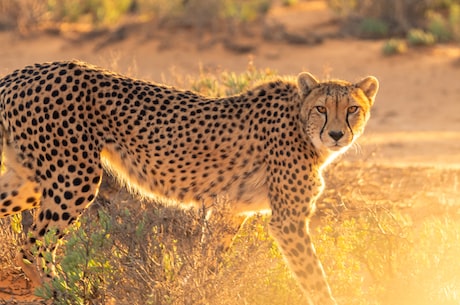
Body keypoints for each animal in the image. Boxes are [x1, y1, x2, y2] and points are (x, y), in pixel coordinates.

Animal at [0, 60, 378, 302]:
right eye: (321, 108)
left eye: (352, 109)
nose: (336, 134)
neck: (301, 123)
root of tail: (22, 72)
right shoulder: (288, 221)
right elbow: (314, 277)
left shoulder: (230, 212)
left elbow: (207, 264)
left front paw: (193, 291)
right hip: (74, 176)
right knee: (35, 242)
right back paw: (60, 292)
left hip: (31, 179)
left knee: (23, 234)